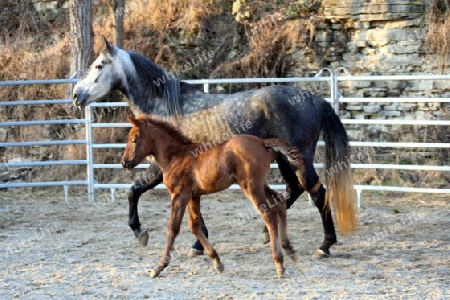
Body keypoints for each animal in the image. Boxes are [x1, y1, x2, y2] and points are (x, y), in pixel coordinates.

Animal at [122, 115, 302, 278]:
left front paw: (158, 267)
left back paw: (279, 263)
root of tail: (262, 142)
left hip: (251, 187)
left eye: (134, 140)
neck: (176, 156)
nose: (124, 162)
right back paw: (289, 250)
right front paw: (217, 262)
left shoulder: (179, 195)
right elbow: (194, 226)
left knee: (269, 214)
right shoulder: (193, 196)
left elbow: (172, 228)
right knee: (280, 202)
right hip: (260, 184)